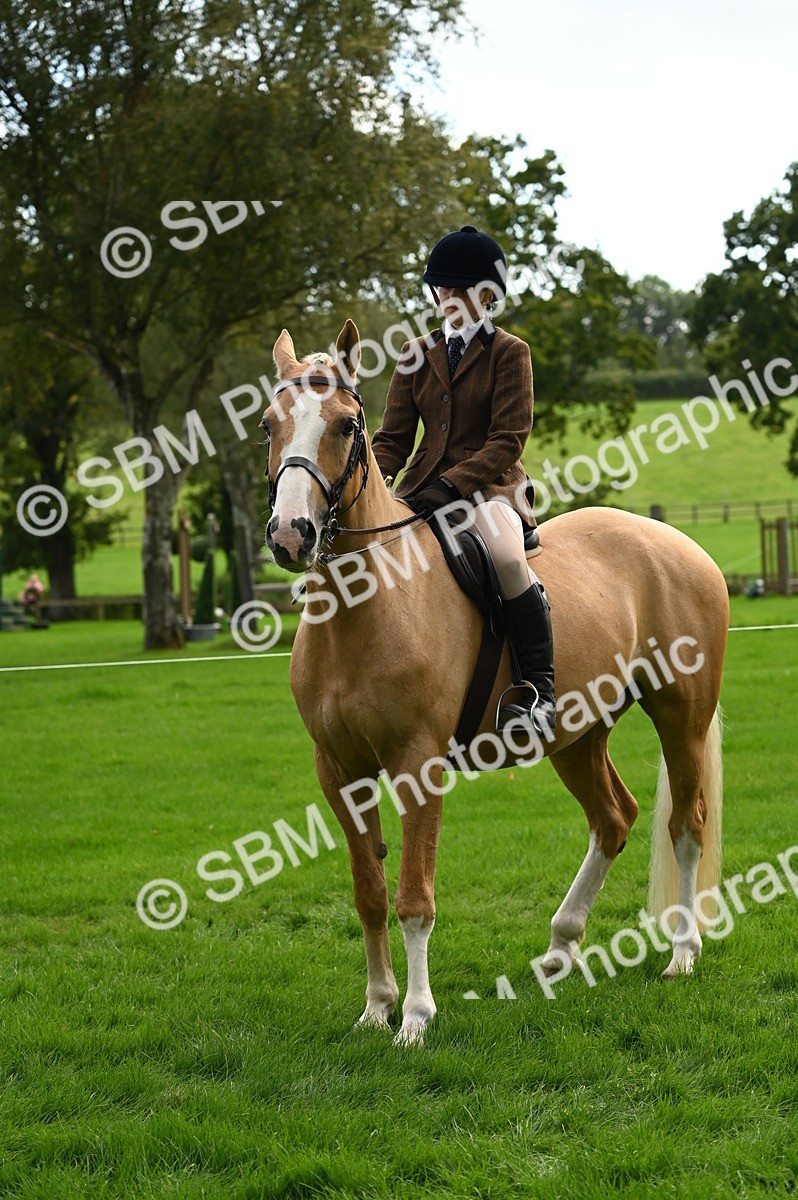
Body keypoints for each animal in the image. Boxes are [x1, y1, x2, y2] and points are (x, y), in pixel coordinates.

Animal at [262, 319, 729, 1046]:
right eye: (267, 424)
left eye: (344, 425)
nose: (291, 534)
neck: (365, 606)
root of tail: (679, 543)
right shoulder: (338, 770)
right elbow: (370, 891)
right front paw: (375, 1007)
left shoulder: (417, 764)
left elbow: (415, 897)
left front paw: (415, 1019)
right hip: (578, 735)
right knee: (613, 818)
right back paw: (561, 948)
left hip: (681, 716)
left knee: (687, 823)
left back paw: (682, 953)